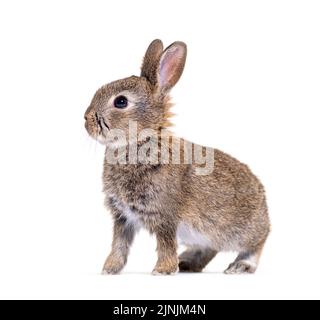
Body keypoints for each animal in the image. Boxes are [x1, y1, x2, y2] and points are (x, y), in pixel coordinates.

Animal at [84, 39, 270, 276]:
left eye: (121, 102)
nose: (86, 119)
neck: (141, 142)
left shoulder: (164, 216)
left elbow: (165, 245)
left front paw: (162, 271)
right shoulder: (123, 216)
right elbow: (119, 245)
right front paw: (109, 269)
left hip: (243, 231)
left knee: (256, 245)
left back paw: (241, 266)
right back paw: (187, 262)